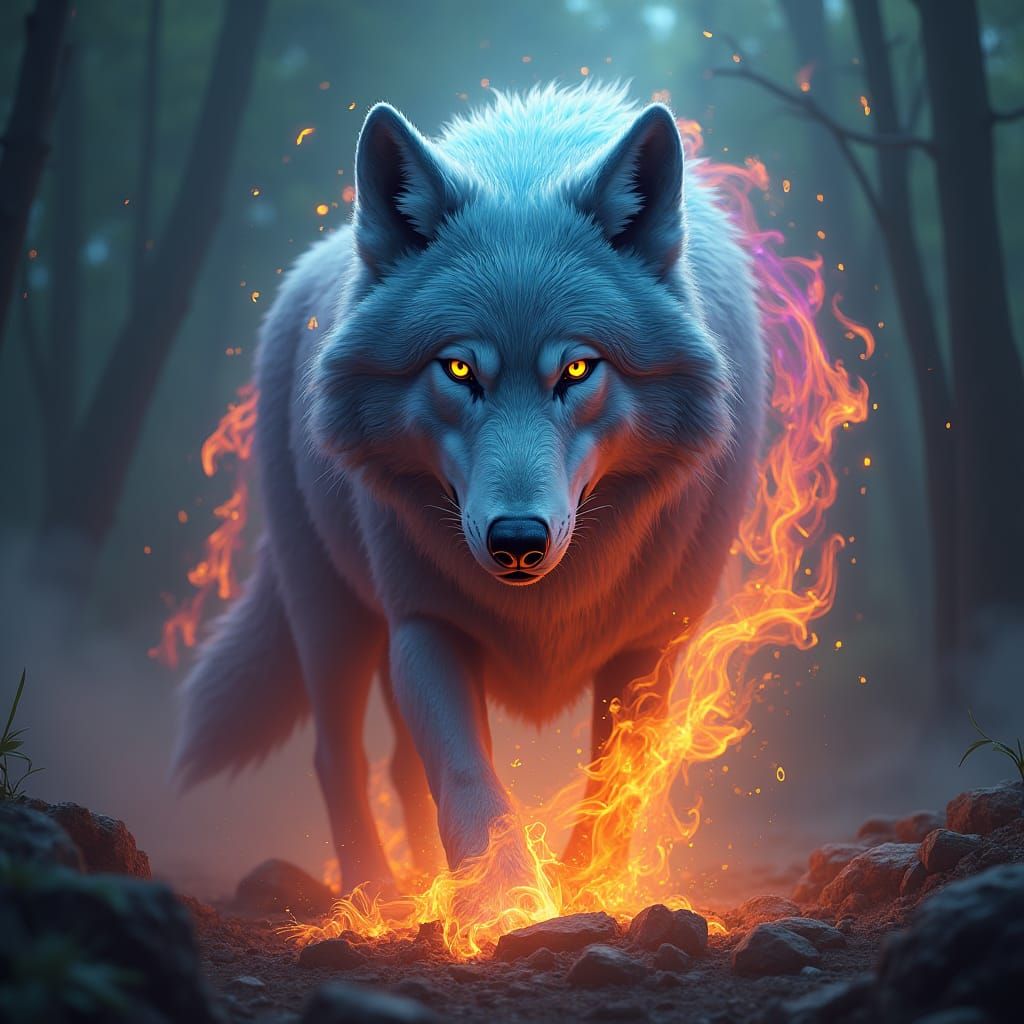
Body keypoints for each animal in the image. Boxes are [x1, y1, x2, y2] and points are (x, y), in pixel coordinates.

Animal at [174, 83, 766, 893]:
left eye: (576, 369)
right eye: (459, 369)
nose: (517, 542)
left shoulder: (650, 645)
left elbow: (613, 786)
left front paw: (582, 888)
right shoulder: (426, 625)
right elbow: (466, 779)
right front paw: (503, 902)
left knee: (397, 767)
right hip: (332, 615)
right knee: (339, 756)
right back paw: (379, 895)